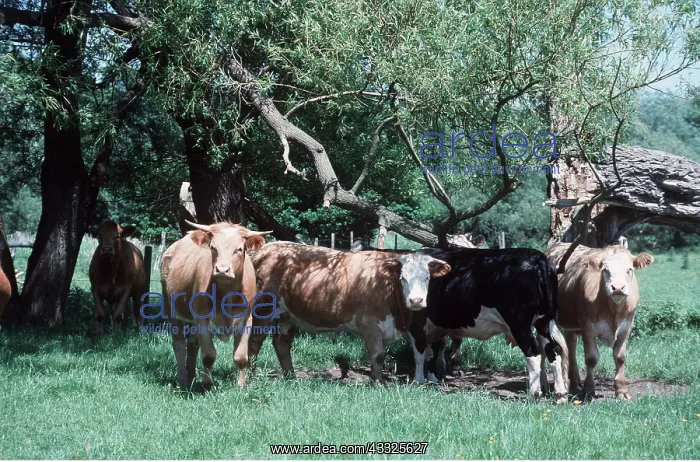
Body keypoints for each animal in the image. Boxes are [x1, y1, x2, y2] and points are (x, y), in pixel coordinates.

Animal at [159, 221, 271, 388]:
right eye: (213, 247)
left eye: (239, 249)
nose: (222, 270)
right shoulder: (202, 319)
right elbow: (208, 355)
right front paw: (207, 384)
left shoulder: (247, 319)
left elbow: (241, 357)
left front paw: (241, 385)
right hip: (171, 310)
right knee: (179, 344)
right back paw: (183, 378)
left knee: (192, 344)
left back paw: (191, 376)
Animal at [247, 242, 451, 382]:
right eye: (403, 278)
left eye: (427, 277)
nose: (416, 300)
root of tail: (265, 249)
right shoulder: (369, 322)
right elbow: (378, 355)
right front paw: (378, 383)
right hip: (263, 308)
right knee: (255, 341)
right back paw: (250, 374)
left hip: (286, 315)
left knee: (282, 343)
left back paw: (291, 376)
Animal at [407, 248, 569, 403]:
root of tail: (537, 257)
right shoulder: (436, 328)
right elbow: (431, 352)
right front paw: (432, 380)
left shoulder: (417, 322)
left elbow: (420, 352)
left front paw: (418, 381)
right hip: (544, 321)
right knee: (553, 350)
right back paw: (560, 395)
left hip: (520, 324)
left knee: (533, 352)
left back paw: (534, 394)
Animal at [545, 243, 654, 400]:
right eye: (605, 270)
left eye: (629, 269)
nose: (618, 288)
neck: (613, 310)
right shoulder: (588, 327)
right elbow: (591, 358)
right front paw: (589, 390)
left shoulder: (627, 327)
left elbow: (620, 357)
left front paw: (621, 390)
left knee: (571, 346)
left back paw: (575, 384)